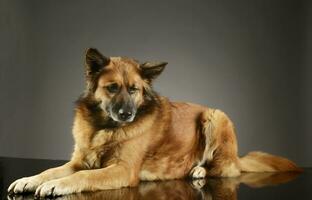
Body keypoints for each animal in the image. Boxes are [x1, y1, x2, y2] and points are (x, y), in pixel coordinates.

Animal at [7, 48, 302, 197]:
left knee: (222, 169)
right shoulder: (79, 160)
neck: (104, 128)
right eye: (112, 88)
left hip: (216, 116)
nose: (126, 114)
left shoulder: (123, 170)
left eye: (134, 90)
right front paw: (29, 180)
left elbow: (83, 176)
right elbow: (51, 170)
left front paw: (57, 185)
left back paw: (199, 170)